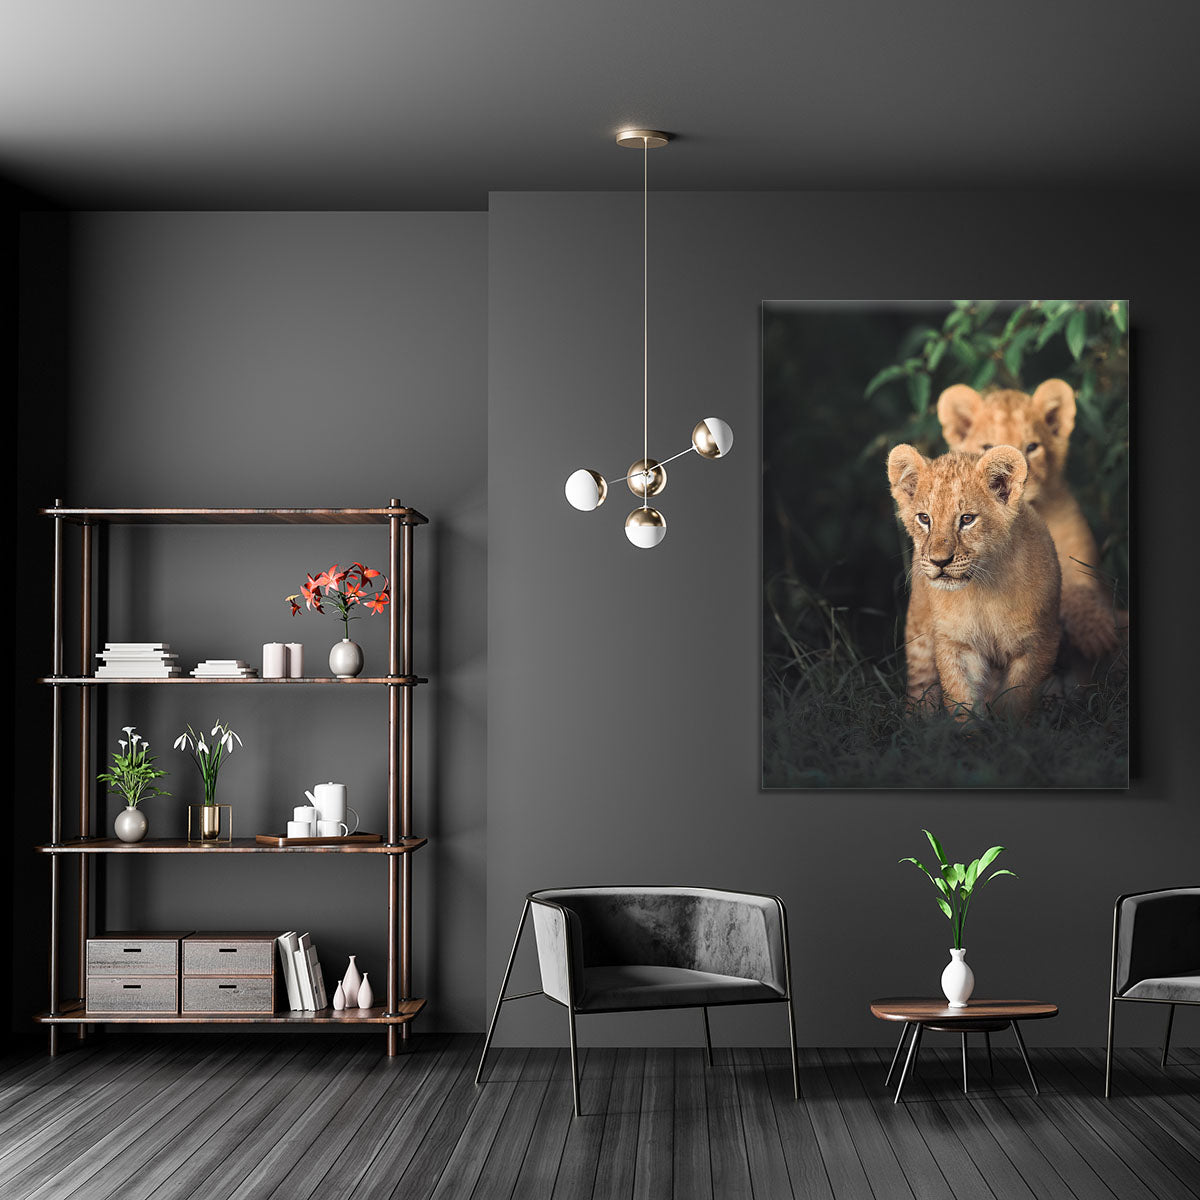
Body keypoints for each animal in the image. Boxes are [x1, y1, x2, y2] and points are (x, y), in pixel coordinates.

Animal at [887, 444, 1062, 720]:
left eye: (967, 519)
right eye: (924, 518)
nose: (939, 561)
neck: (984, 591)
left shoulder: (1039, 643)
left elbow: (1018, 701)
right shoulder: (956, 644)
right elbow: (962, 701)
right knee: (921, 685)